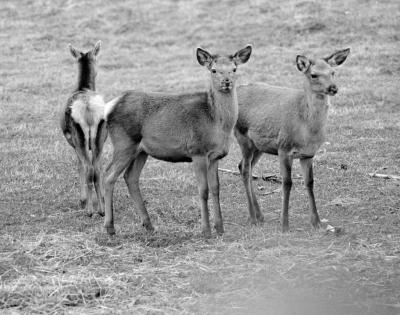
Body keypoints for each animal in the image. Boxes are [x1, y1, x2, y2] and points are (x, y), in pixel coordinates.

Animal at [59, 40, 108, 217]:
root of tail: (88, 109)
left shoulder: (73, 143)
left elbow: (79, 166)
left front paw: (82, 200)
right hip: (100, 137)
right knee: (97, 169)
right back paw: (102, 210)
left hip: (79, 138)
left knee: (88, 168)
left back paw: (89, 210)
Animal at [103, 44, 253, 237]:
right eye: (213, 70)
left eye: (234, 69)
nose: (226, 82)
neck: (216, 123)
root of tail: (109, 106)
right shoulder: (197, 151)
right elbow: (203, 190)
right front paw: (206, 230)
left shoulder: (215, 156)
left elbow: (216, 189)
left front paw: (220, 228)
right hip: (124, 142)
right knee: (108, 176)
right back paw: (110, 227)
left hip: (141, 151)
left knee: (130, 177)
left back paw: (148, 224)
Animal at [236, 47, 348, 232]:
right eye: (314, 75)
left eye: (333, 72)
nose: (333, 88)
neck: (307, 131)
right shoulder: (284, 148)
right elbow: (287, 183)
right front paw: (284, 224)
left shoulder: (308, 154)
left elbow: (310, 182)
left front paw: (316, 222)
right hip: (242, 136)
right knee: (245, 169)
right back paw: (252, 217)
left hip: (258, 146)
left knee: (243, 167)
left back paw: (260, 215)